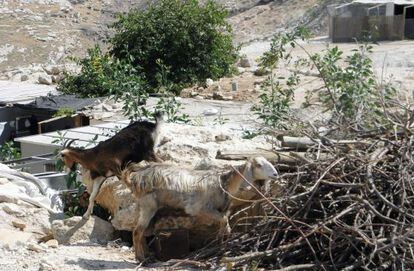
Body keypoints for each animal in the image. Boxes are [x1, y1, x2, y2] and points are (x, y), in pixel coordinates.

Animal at [119, 156, 278, 262]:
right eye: (259, 165)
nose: (275, 174)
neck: (223, 184)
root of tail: (134, 179)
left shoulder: (223, 209)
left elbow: (224, 224)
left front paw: (222, 245)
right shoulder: (201, 209)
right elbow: (224, 221)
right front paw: (222, 241)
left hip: (147, 207)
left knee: (141, 231)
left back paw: (146, 255)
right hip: (148, 205)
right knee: (137, 231)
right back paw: (140, 258)